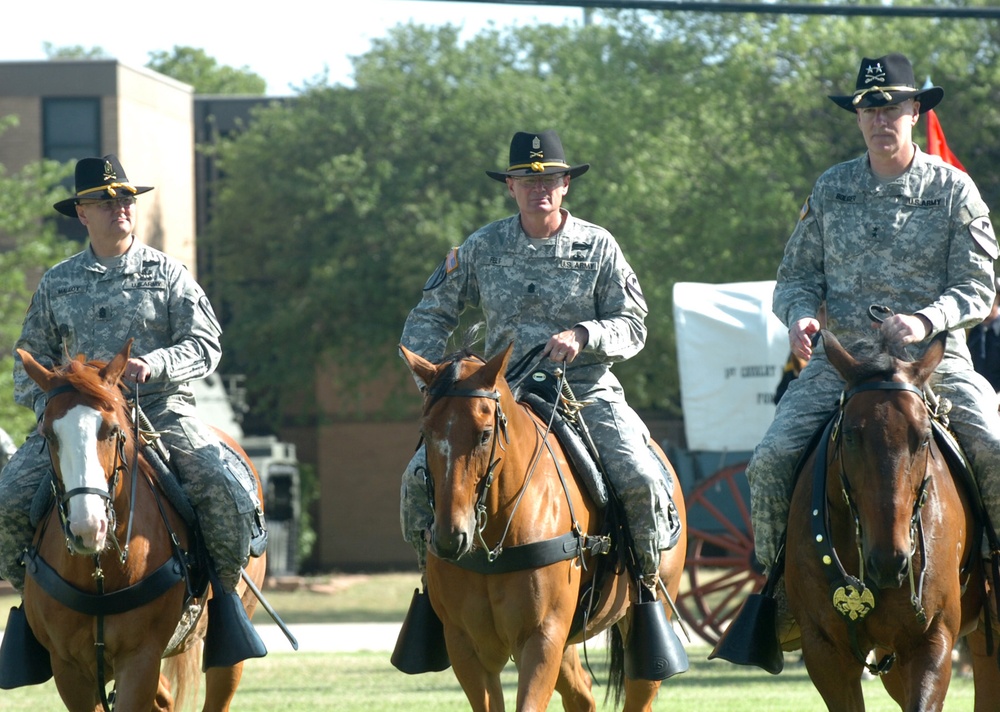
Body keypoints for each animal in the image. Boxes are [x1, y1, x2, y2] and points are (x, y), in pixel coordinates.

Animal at [17, 340, 266, 712]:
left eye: (112, 430)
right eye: (48, 434)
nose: (88, 527)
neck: (99, 572)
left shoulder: (140, 659)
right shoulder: (69, 669)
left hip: (228, 650)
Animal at [398, 344, 688, 712]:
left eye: (485, 434)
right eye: (427, 432)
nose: (452, 537)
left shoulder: (542, 638)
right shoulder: (466, 646)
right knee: (582, 695)